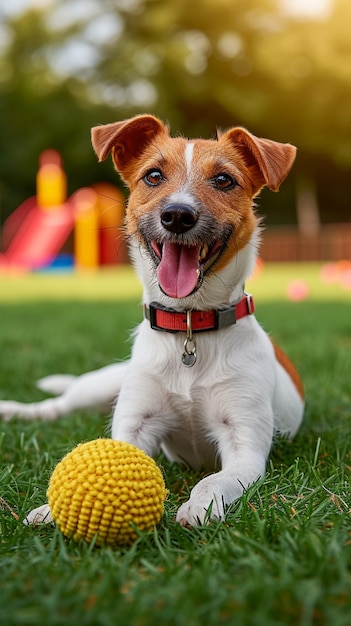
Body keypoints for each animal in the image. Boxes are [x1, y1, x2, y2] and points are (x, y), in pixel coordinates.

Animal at [0, 114, 306, 524]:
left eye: (224, 180)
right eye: (154, 176)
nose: (177, 215)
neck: (190, 326)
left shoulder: (245, 446)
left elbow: (214, 479)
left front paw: (199, 505)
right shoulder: (135, 424)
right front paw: (53, 508)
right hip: (102, 385)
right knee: (56, 406)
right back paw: (14, 410)